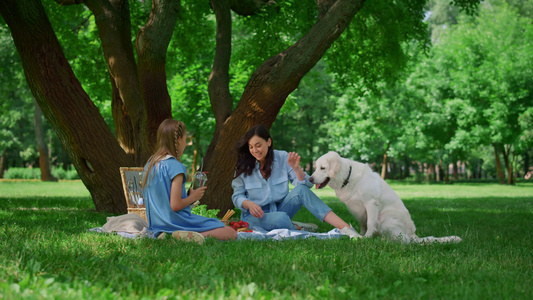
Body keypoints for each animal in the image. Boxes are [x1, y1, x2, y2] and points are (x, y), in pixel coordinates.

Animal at [310, 152, 460, 244]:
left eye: (323, 168)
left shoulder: (371, 204)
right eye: (316, 167)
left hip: (386, 219)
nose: (310, 179)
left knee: (403, 241)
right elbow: (364, 224)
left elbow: (370, 224)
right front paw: (360, 235)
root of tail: (413, 235)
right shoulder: (360, 211)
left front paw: (366, 238)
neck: (347, 177)